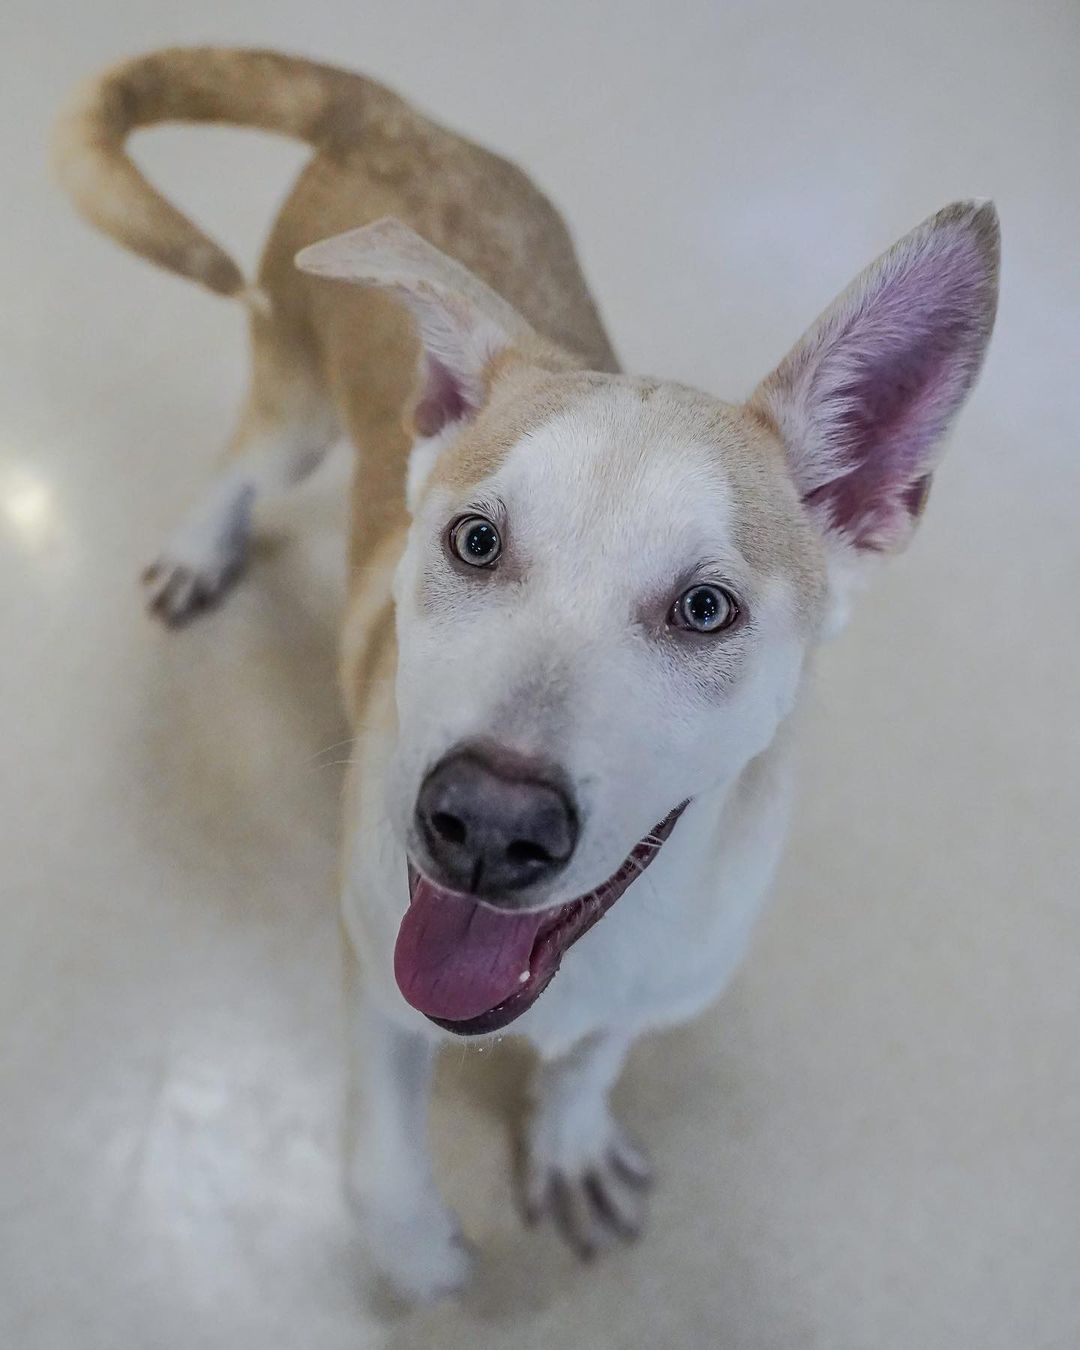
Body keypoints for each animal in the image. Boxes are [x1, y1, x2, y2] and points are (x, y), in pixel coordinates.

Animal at [54, 47, 999, 1301]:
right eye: (474, 541)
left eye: (707, 609)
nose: (488, 829)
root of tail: (392, 115)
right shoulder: (375, 968)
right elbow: (379, 1155)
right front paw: (415, 1251)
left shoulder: (660, 988)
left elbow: (592, 1060)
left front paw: (569, 1140)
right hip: (296, 403)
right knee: (240, 458)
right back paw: (203, 544)